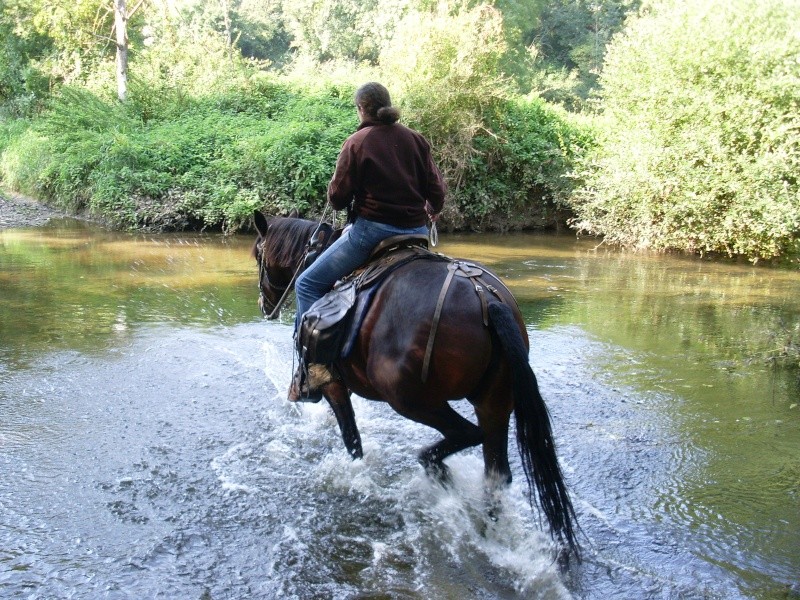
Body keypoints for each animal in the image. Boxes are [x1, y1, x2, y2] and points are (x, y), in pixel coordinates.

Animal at [253, 211, 580, 564]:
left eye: (257, 255)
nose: (263, 304)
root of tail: (487, 300)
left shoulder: (334, 385)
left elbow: (351, 438)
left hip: (410, 399)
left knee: (466, 434)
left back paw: (437, 472)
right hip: (494, 401)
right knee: (497, 473)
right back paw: (489, 532)